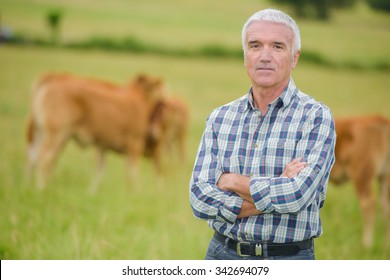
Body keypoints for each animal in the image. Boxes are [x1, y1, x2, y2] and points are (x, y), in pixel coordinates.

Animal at [25, 71, 166, 192]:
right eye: (161, 89)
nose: (166, 98)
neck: (139, 98)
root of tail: (49, 84)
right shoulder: (134, 143)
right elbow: (133, 171)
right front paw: (135, 191)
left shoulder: (103, 145)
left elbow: (100, 170)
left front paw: (92, 192)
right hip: (56, 134)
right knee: (45, 157)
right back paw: (41, 187)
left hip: (41, 132)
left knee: (35, 156)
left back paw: (30, 185)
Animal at [330, 115, 390, 248]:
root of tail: (380, 120)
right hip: (384, 177)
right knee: (386, 206)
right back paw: (385, 245)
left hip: (362, 176)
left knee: (368, 204)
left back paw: (366, 245)